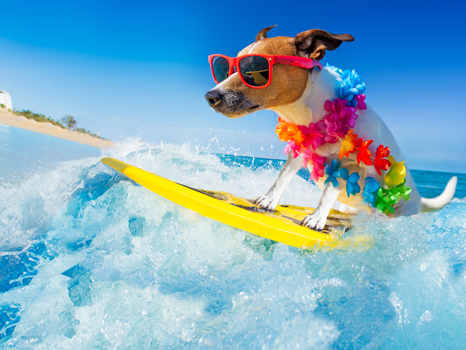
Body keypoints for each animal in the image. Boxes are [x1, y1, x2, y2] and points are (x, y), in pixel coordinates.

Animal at [205, 26, 458, 231]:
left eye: (254, 69)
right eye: (227, 69)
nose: (210, 96)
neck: (317, 114)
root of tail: (418, 197)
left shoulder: (350, 164)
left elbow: (328, 193)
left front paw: (317, 218)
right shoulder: (299, 152)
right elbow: (282, 177)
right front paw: (269, 200)